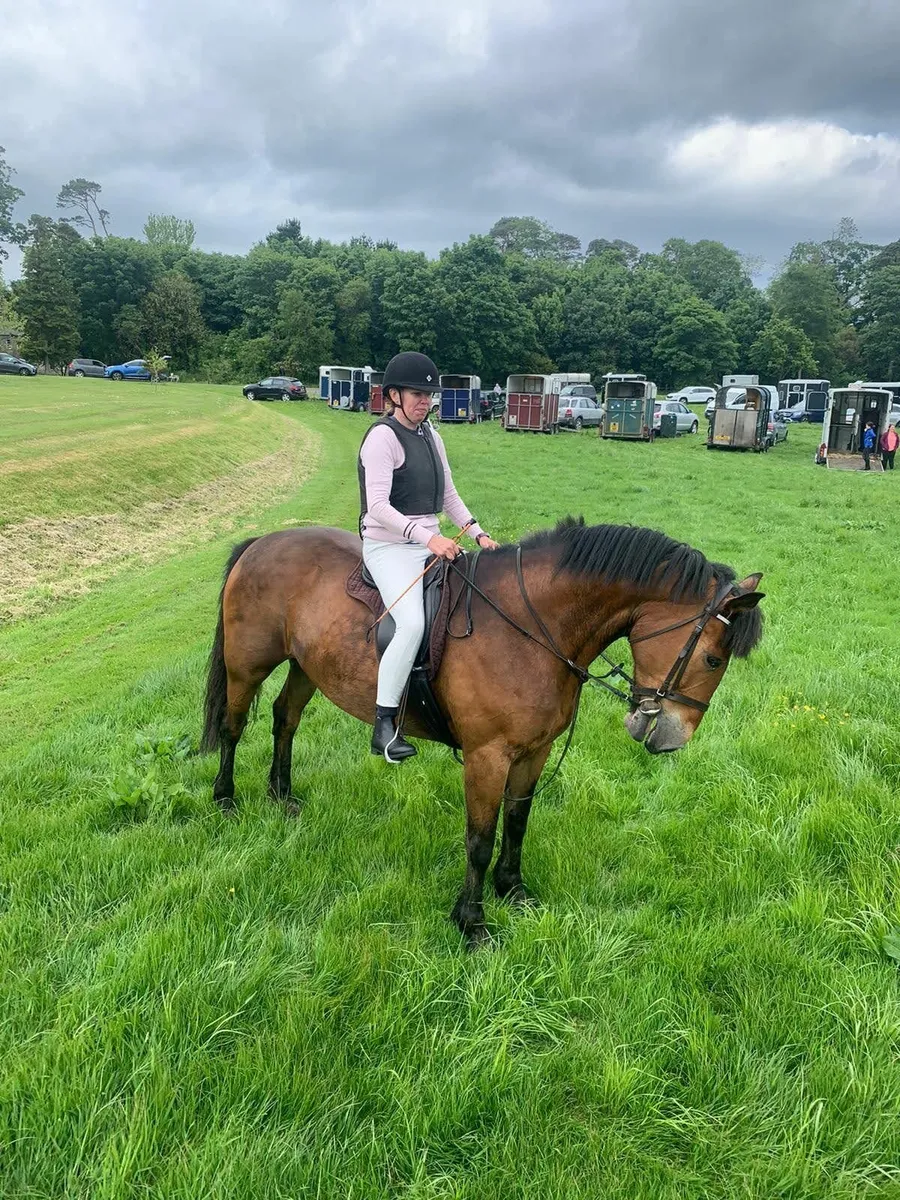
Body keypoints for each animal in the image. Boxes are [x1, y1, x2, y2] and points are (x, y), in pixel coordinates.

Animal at [200, 517, 764, 947]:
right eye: (713, 659)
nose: (672, 739)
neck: (532, 627)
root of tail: (262, 542)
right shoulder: (487, 757)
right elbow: (480, 837)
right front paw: (471, 923)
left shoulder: (534, 751)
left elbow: (516, 822)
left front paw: (512, 889)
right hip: (248, 665)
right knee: (233, 726)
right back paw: (226, 799)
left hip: (305, 665)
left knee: (285, 719)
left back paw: (281, 793)